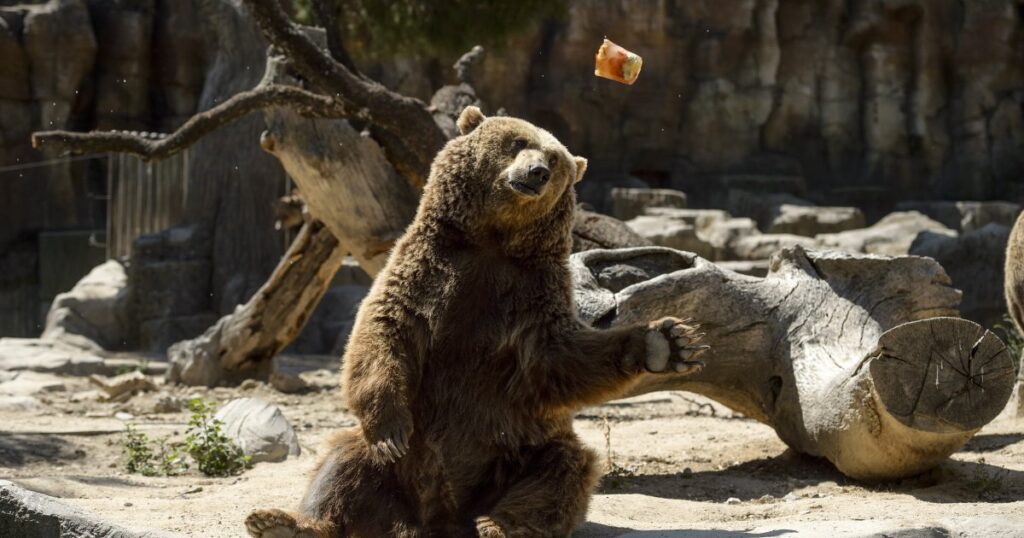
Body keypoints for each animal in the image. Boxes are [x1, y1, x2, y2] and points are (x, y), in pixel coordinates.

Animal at [244, 106, 708, 538]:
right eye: (519, 141)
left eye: (555, 159)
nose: (537, 173)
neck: (492, 242)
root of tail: (435, 518)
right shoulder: (425, 272)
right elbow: (384, 330)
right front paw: (390, 427)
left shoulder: (530, 296)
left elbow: (560, 358)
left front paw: (667, 343)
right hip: (398, 466)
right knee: (344, 464)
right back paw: (284, 521)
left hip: (516, 449)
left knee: (560, 473)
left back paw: (497, 525)